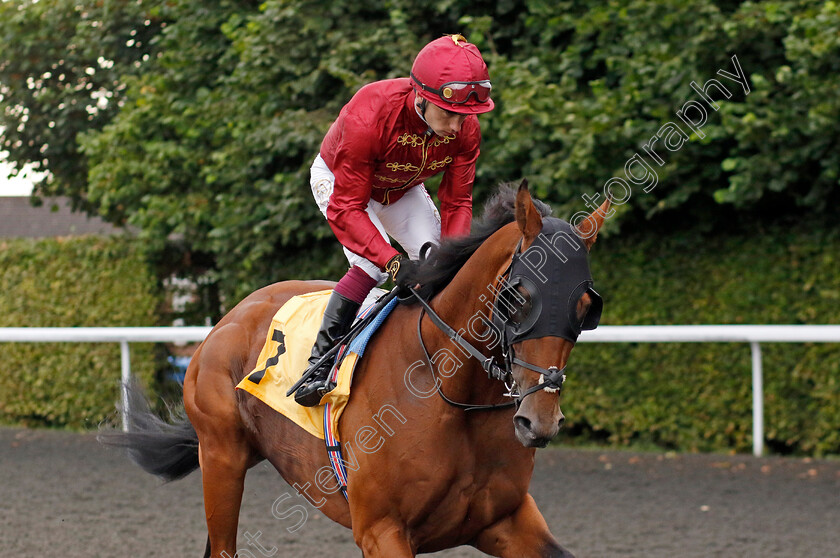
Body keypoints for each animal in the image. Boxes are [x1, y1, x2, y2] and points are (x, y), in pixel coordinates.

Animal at [101, 182, 612, 556]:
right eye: (518, 297)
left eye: (586, 307)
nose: (539, 421)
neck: (448, 393)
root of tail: (229, 318)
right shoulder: (382, 531)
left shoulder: (504, 519)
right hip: (221, 458)